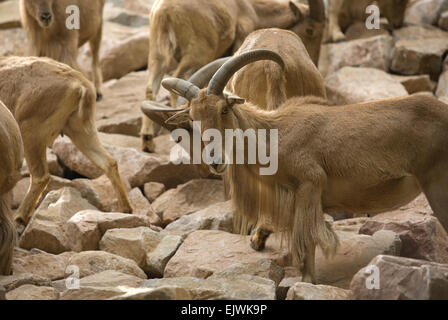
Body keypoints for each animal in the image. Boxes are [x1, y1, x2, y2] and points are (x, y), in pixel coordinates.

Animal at [0, 57, 133, 228]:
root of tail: (80, 85)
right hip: (80, 129)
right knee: (109, 162)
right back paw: (125, 210)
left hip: (30, 130)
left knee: (41, 176)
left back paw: (20, 217)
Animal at [141, 0, 326, 154]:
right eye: (310, 30)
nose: (316, 60)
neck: (252, 9)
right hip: (197, 52)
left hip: (157, 51)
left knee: (150, 87)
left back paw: (147, 140)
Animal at [157, 49, 448, 282]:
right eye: (193, 117)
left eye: (223, 110)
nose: (215, 160)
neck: (274, 137)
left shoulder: (309, 187)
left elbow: (307, 242)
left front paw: (307, 281)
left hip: (438, 186)